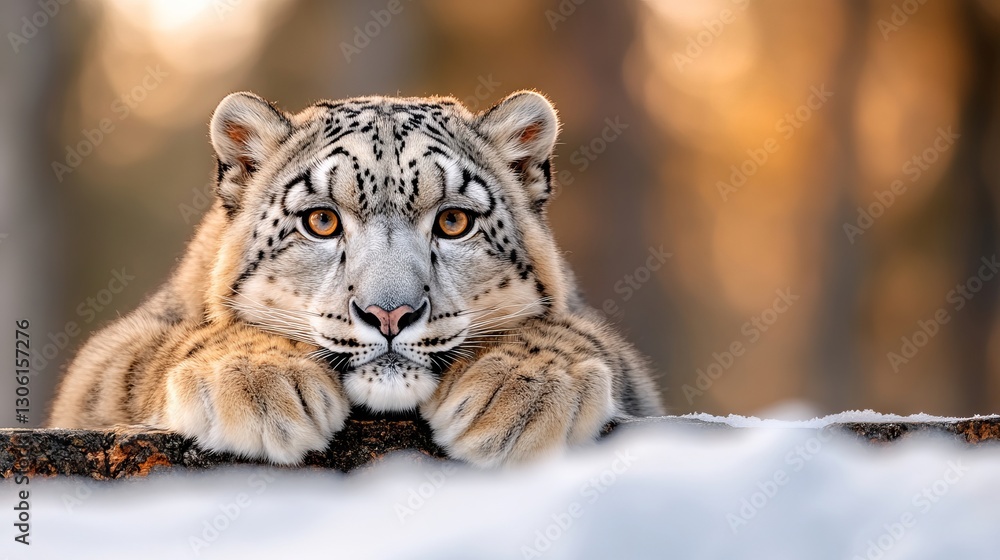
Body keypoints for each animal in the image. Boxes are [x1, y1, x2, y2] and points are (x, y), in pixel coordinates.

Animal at [48, 90, 663, 467]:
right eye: (321, 220)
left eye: (454, 221)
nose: (389, 313)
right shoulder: (107, 361)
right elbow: (145, 355)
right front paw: (260, 385)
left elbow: (588, 339)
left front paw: (519, 392)